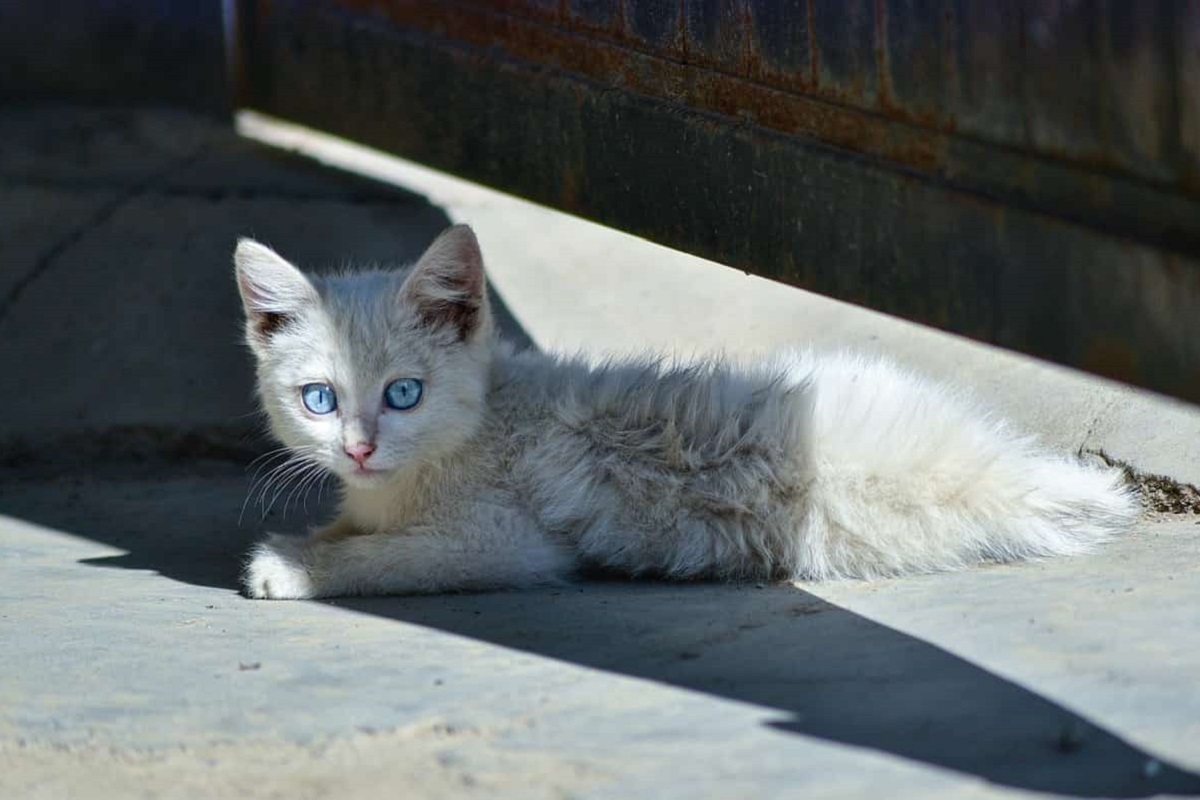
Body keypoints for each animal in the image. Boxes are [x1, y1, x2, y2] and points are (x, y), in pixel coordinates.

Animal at [231, 221, 1132, 597]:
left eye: (403, 393)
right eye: (319, 399)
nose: (357, 449)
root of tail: (998, 472)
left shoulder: (502, 540)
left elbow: (392, 557)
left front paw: (293, 566)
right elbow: (356, 528)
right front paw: (320, 536)